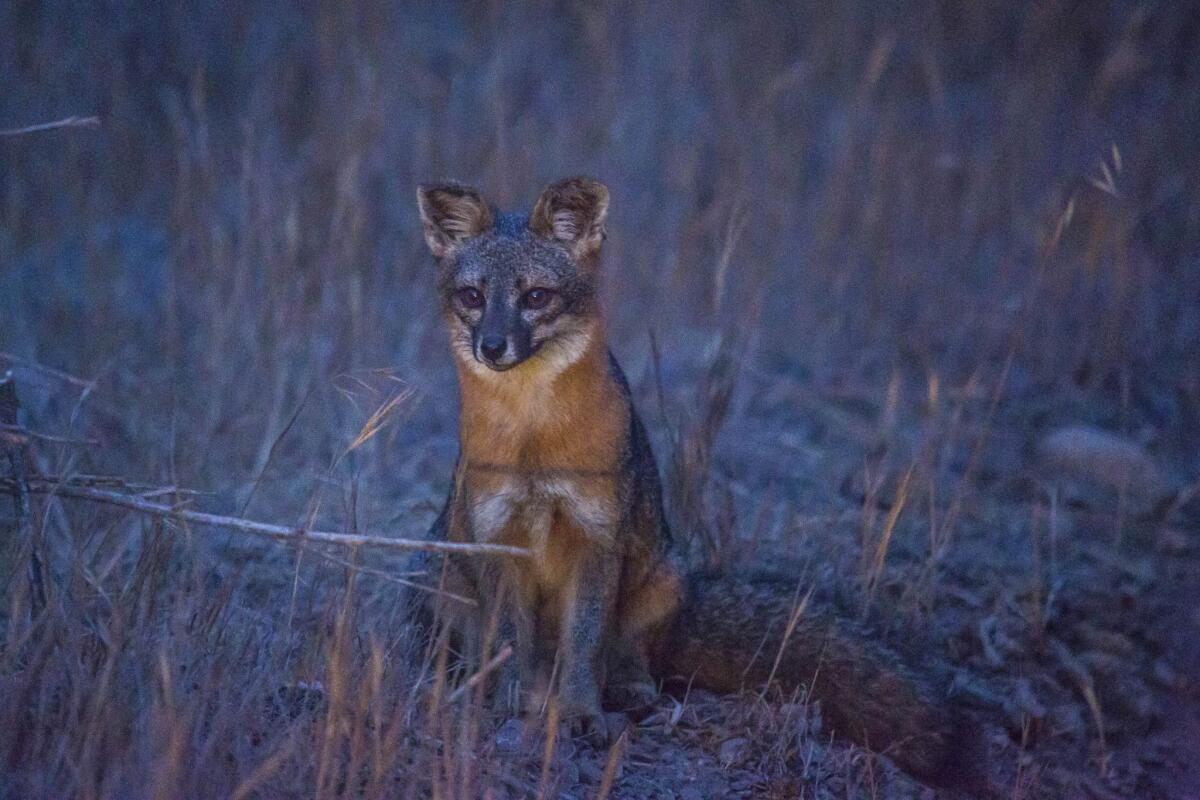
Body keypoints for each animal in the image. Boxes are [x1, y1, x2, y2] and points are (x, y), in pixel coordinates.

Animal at [412, 176, 993, 796]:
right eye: (473, 297)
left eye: (536, 297)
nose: (493, 346)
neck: (533, 441)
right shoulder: (498, 537)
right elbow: (509, 642)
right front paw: (517, 704)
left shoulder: (595, 540)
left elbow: (586, 644)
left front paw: (581, 714)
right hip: (441, 573)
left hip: (659, 576)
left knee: (628, 654)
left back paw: (628, 688)